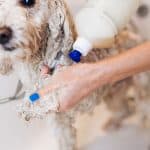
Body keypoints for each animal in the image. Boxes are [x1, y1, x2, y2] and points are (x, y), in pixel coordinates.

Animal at [0, 0, 149, 150]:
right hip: (114, 92)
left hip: (141, 86)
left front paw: (29, 106)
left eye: (27, 2)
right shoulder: (59, 120)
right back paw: (114, 122)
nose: (2, 34)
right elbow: (66, 141)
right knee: (126, 109)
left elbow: (52, 91)